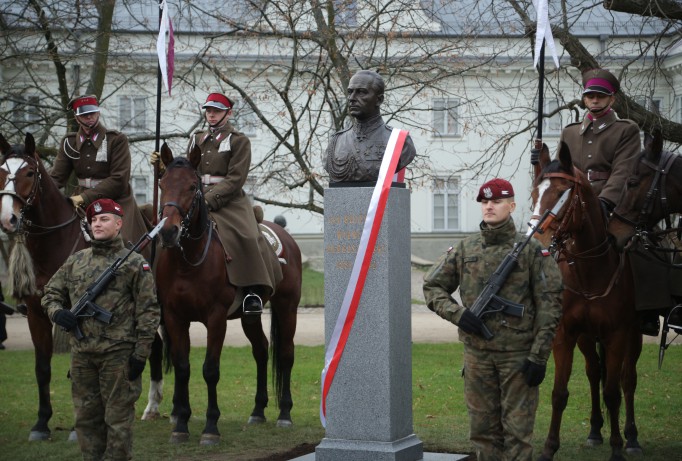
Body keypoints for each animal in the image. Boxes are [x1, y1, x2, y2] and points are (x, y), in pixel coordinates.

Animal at [0, 133, 164, 442]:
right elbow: (42, 368)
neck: (53, 242)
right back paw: (149, 407)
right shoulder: (38, 313)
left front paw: (80, 429)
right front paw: (41, 423)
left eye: (29, 173)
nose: (8, 219)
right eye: (1, 172)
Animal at [157, 142, 300, 444]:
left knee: (285, 353)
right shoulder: (175, 317)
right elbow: (183, 367)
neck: (188, 263)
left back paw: (284, 413)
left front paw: (211, 427)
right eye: (162, 184)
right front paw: (181, 424)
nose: (168, 232)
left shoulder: (216, 317)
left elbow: (210, 370)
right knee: (261, 350)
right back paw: (258, 411)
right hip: (249, 315)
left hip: (287, 306)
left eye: (192, 187)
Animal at [532, 141, 644, 460]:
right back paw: (595, 430)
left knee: (627, 380)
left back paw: (631, 437)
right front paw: (549, 448)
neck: (590, 271)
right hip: (585, 337)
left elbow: (614, 393)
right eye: (534, 192)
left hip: (634, 335)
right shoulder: (565, 335)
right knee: (594, 372)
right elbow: (559, 393)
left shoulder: (618, 334)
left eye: (561, 193)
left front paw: (617, 448)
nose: (536, 240)